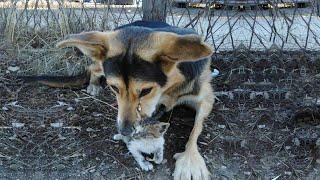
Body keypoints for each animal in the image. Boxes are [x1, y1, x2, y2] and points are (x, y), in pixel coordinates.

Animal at [21, 20, 215, 179]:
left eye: (146, 90)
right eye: (114, 88)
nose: (125, 132)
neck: (170, 88)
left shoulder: (207, 99)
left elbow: (196, 128)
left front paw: (190, 160)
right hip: (101, 65)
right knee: (93, 67)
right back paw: (94, 85)